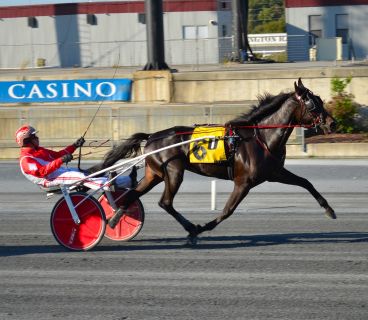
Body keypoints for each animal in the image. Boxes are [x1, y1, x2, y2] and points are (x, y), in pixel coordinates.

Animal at [89, 79, 336, 244]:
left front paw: (329, 210)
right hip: (173, 171)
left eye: (320, 99)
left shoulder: (274, 172)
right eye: (312, 104)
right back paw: (191, 229)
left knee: (133, 194)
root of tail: (151, 137)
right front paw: (203, 227)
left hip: (155, 174)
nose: (332, 123)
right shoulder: (244, 182)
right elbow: (227, 210)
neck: (260, 137)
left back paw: (115, 220)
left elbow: (306, 182)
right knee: (165, 202)